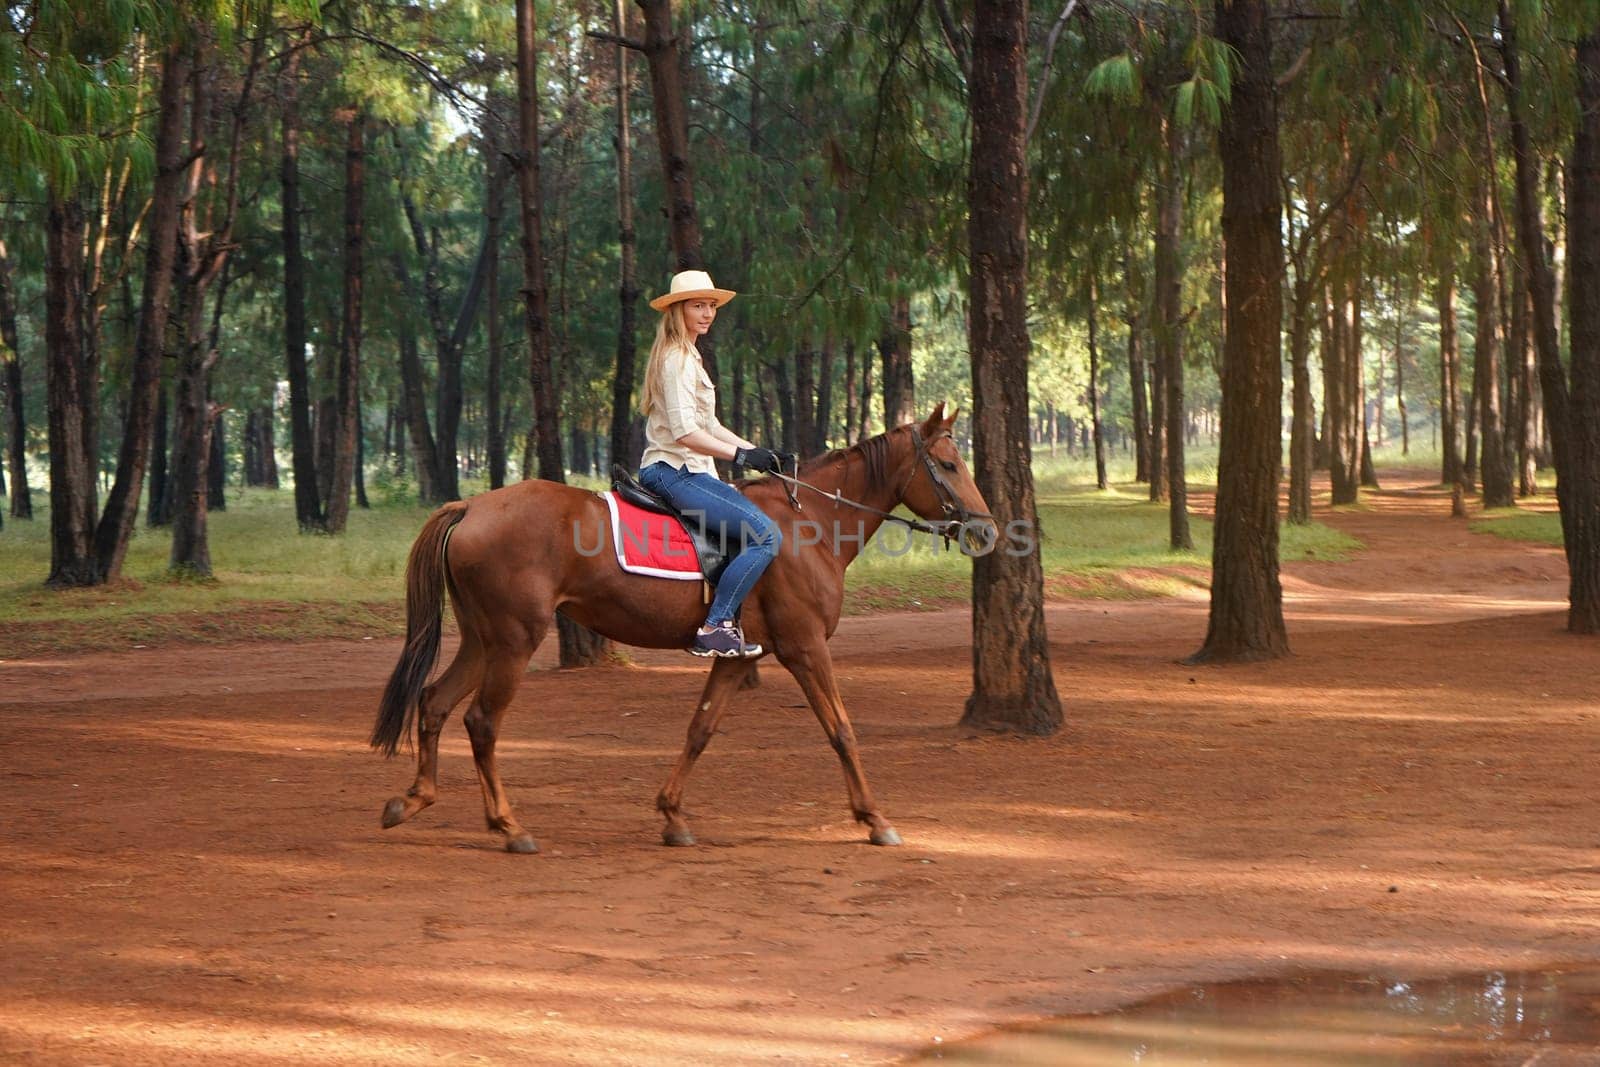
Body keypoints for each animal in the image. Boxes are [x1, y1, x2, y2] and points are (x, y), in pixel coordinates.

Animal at [376, 404, 998, 857]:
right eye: (948, 465)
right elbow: (841, 730)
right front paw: (874, 819)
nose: (987, 530)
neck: (812, 525)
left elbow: (700, 730)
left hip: (483, 639)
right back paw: (509, 827)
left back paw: (413, 800)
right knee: (481, 722)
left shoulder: (739, 656)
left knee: (433, 702)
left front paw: (673, 816)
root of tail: (470, 506)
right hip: (512, 640)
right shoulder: (804, 648)